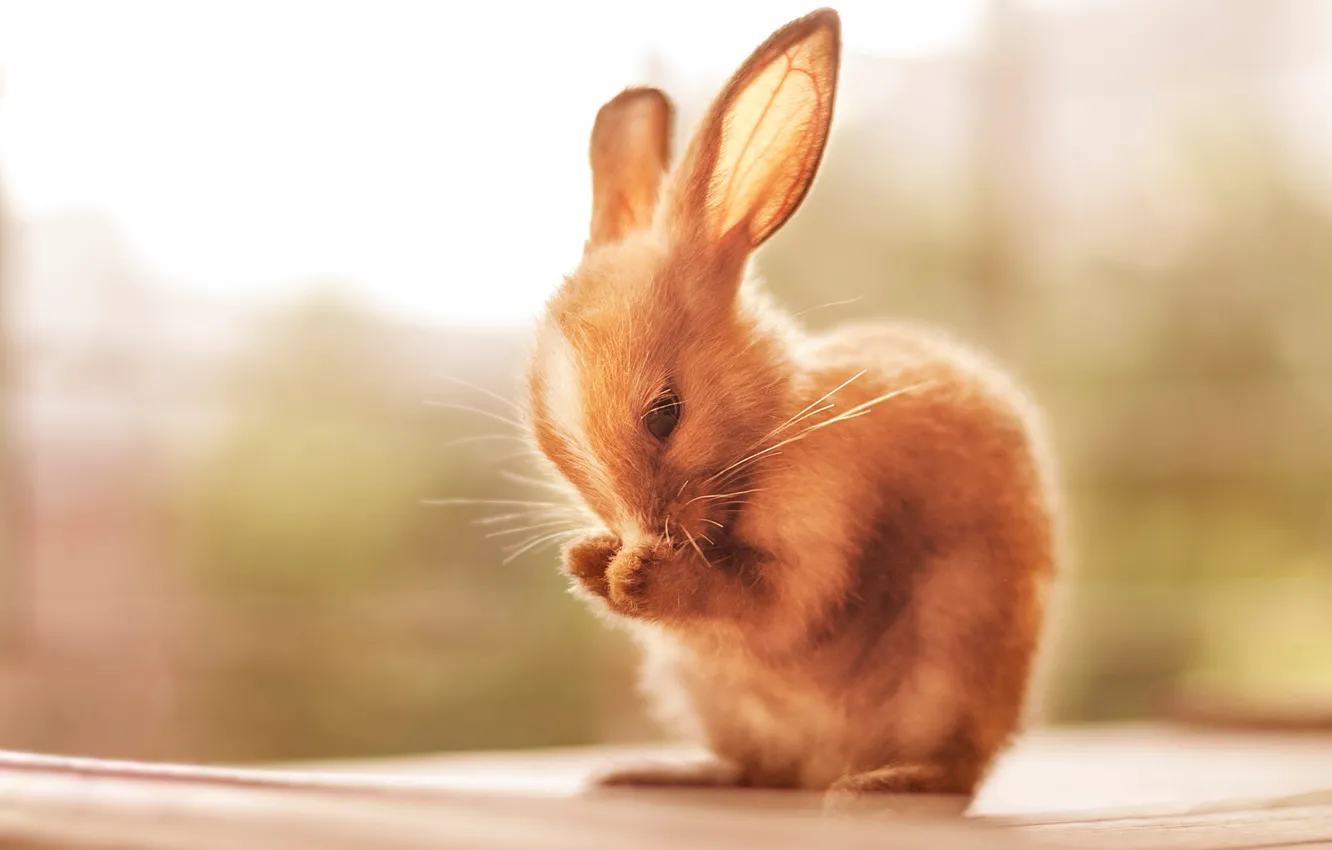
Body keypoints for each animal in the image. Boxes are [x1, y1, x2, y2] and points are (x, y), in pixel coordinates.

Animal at [523, 6, 1060, 812]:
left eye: (665, 413)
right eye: (551, 449)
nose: (642, 534)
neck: (776, 425)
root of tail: (821, 765)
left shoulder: (821, 527)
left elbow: (771, 608)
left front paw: (636, 576)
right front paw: (591, 561)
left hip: (954, 650)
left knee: (956, 770)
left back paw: (882, 784)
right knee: (759, 771)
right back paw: (656, 773)